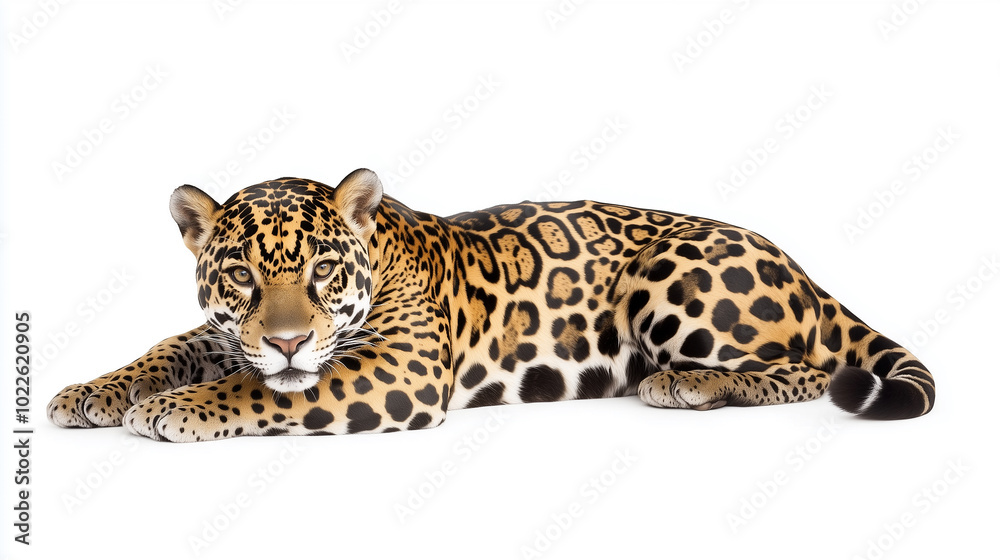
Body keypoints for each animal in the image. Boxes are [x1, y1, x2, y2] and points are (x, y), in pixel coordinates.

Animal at [47, 169, 935, 442]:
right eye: (240, 277)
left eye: (325, 269)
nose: (292, 340)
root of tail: (799, 263)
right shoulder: (231, 333)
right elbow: (176, 347)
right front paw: (91, 392)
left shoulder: (396, 370)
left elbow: (256, 389)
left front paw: (176, 409)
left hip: (667, 272)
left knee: (808, 367)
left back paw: (687, 383)